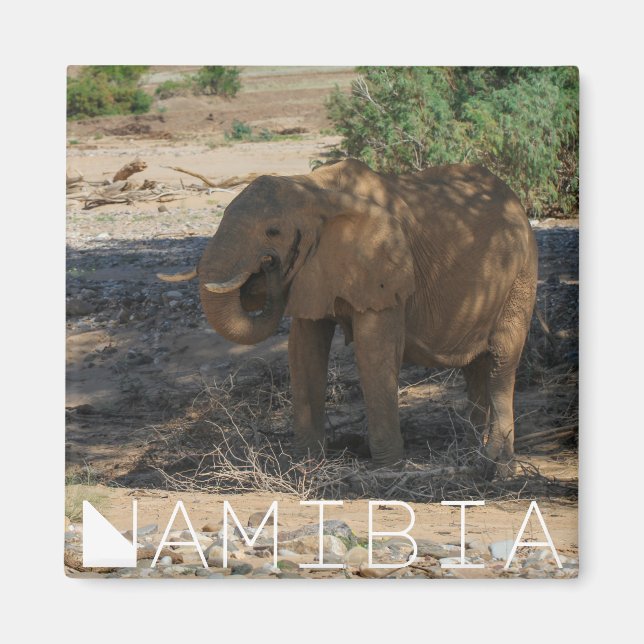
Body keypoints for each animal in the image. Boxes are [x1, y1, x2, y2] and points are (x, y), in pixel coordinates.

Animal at [158, 159, 537, 478]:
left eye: (273, 232)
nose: (270, 266)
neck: (315, 189)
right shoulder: (313, 270)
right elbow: (304, 349)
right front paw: (302, 463)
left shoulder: (381, 267)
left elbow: (374, 352)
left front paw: (387, 468)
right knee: (476, 367)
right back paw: (473, 453)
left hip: (522, 273)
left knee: (501, 360)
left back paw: (498, 466)